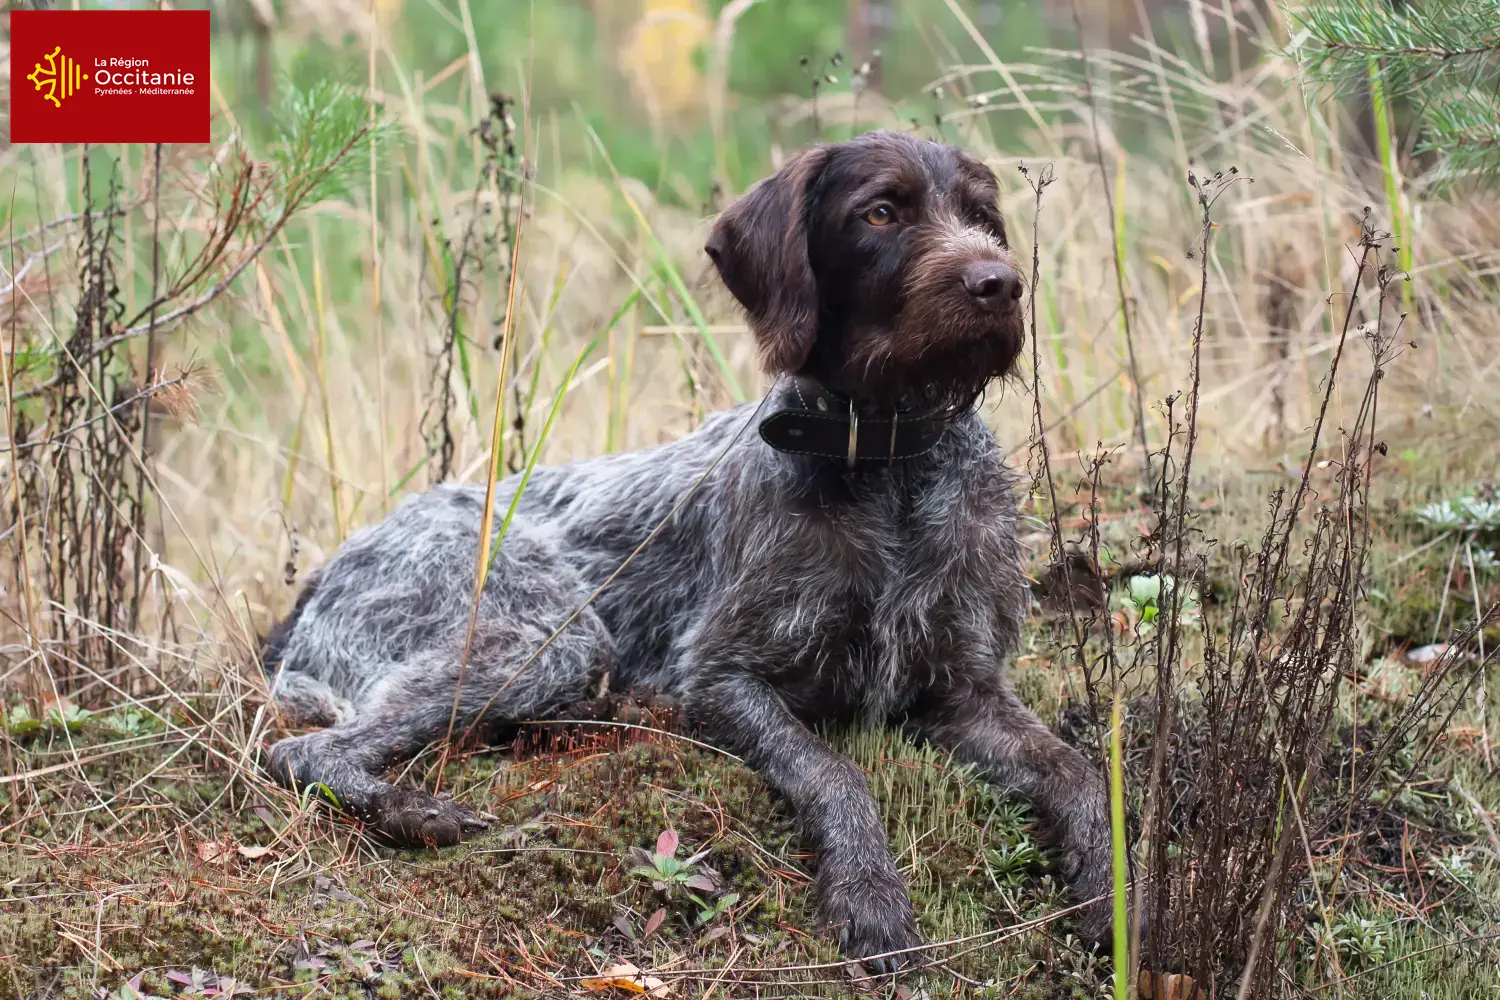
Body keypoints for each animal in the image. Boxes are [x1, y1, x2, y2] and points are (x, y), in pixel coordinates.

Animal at [264, 128, 1122, 965]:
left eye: (982, 217)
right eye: (881, 212)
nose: (999, 284)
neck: (883, 459)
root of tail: (324, 575)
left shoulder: (965, 688)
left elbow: (1079, 774)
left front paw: (1110, 893)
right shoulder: (717, 677)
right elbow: (834, 772)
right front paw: (869, 893)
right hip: (545, 635)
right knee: (301, 754)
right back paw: (415, 810)